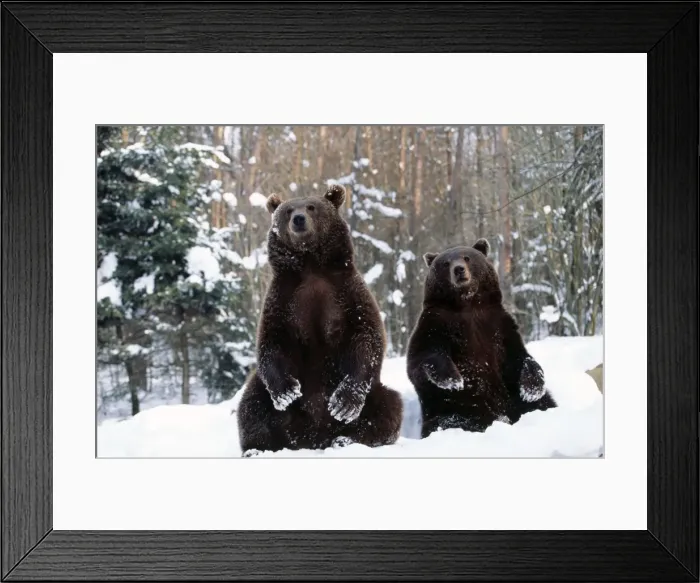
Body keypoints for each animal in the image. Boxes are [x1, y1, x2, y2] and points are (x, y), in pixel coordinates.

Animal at [237, 184, 403, 456]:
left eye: (311, 207)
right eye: (288, 210)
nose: (298, 219)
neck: (311, 265)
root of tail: (313, 438)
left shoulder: (347, 294)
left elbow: (367, 338)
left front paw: (343, 403)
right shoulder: (283, 299)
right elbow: (271, 342)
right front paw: (286, 392)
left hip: (374, 394)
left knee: (389, 406)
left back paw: (347, 439)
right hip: (269, 400)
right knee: (252, 405)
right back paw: (256, 449)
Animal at [406, 238, 556, 438]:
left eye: (467, 257)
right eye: (445, 263)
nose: (459, 270)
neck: (467, 304)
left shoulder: (499, 326)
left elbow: (521, 356)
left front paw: (532, 390)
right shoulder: (436, 323)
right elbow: (423, 356)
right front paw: (453, 380)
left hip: (511, 397)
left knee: (543, 404)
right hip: (457, 406)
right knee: (451, 421)